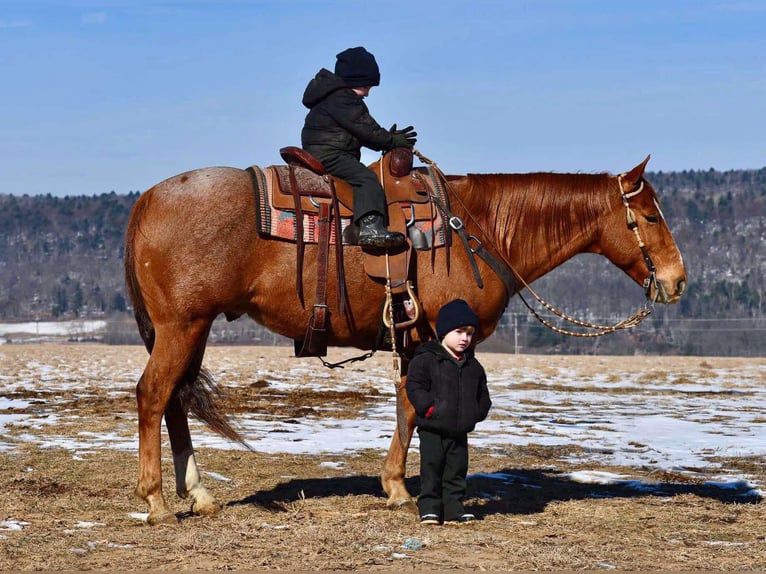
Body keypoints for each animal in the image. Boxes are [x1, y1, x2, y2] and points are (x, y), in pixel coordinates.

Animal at [124, 152, 688, 528]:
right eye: (651, 216)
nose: (678, 280)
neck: (477, 229)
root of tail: (147, 198)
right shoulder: (443, 336)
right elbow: (421, 407)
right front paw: (401, 488)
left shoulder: (415, 339)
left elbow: (408, 405)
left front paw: (397, 484)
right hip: (182, 326)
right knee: (153, 395)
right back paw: (155, 501)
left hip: (192, 329)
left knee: (175, 400)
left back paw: (197, 494)